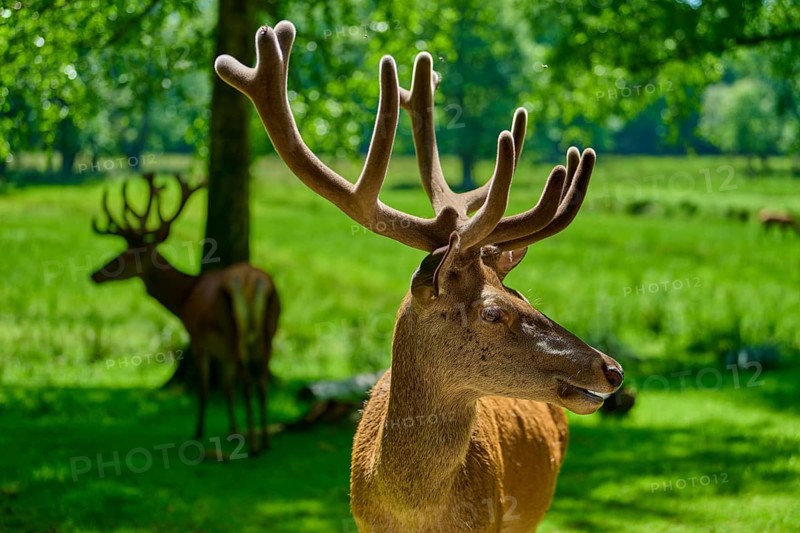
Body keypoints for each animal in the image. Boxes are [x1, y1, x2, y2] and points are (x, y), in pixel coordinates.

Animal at [91, 173, 280, 455]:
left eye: (126, 256)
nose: (94, 274)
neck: (184, 297)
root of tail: (251, 281)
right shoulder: (221, 349)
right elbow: (226, 387)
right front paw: (233, 431)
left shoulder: (199, 336)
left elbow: (205, 387)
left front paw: (200, 432)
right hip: (269, 327)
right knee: (262, 379)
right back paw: (264, 440)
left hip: (233, 330)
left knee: (246, 381)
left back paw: (255, 445)